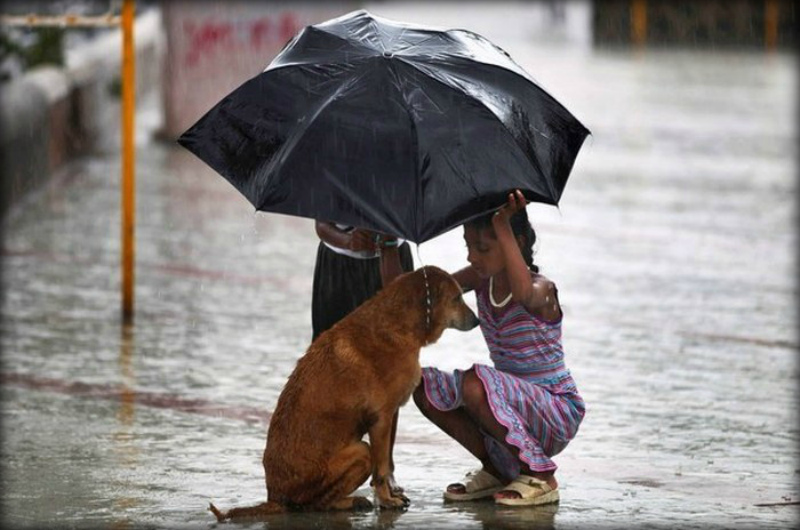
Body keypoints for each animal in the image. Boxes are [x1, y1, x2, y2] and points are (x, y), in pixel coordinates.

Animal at [209, 264, 478, 520]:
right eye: (456, 298)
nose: (476, 320)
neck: (397, 324)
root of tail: (274, 498)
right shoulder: (381, 420)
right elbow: (382, 470)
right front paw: (387, 500)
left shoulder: (387, 418)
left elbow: (385, 467)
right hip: (361, 452)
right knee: (315, 505)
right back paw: (350, 502)